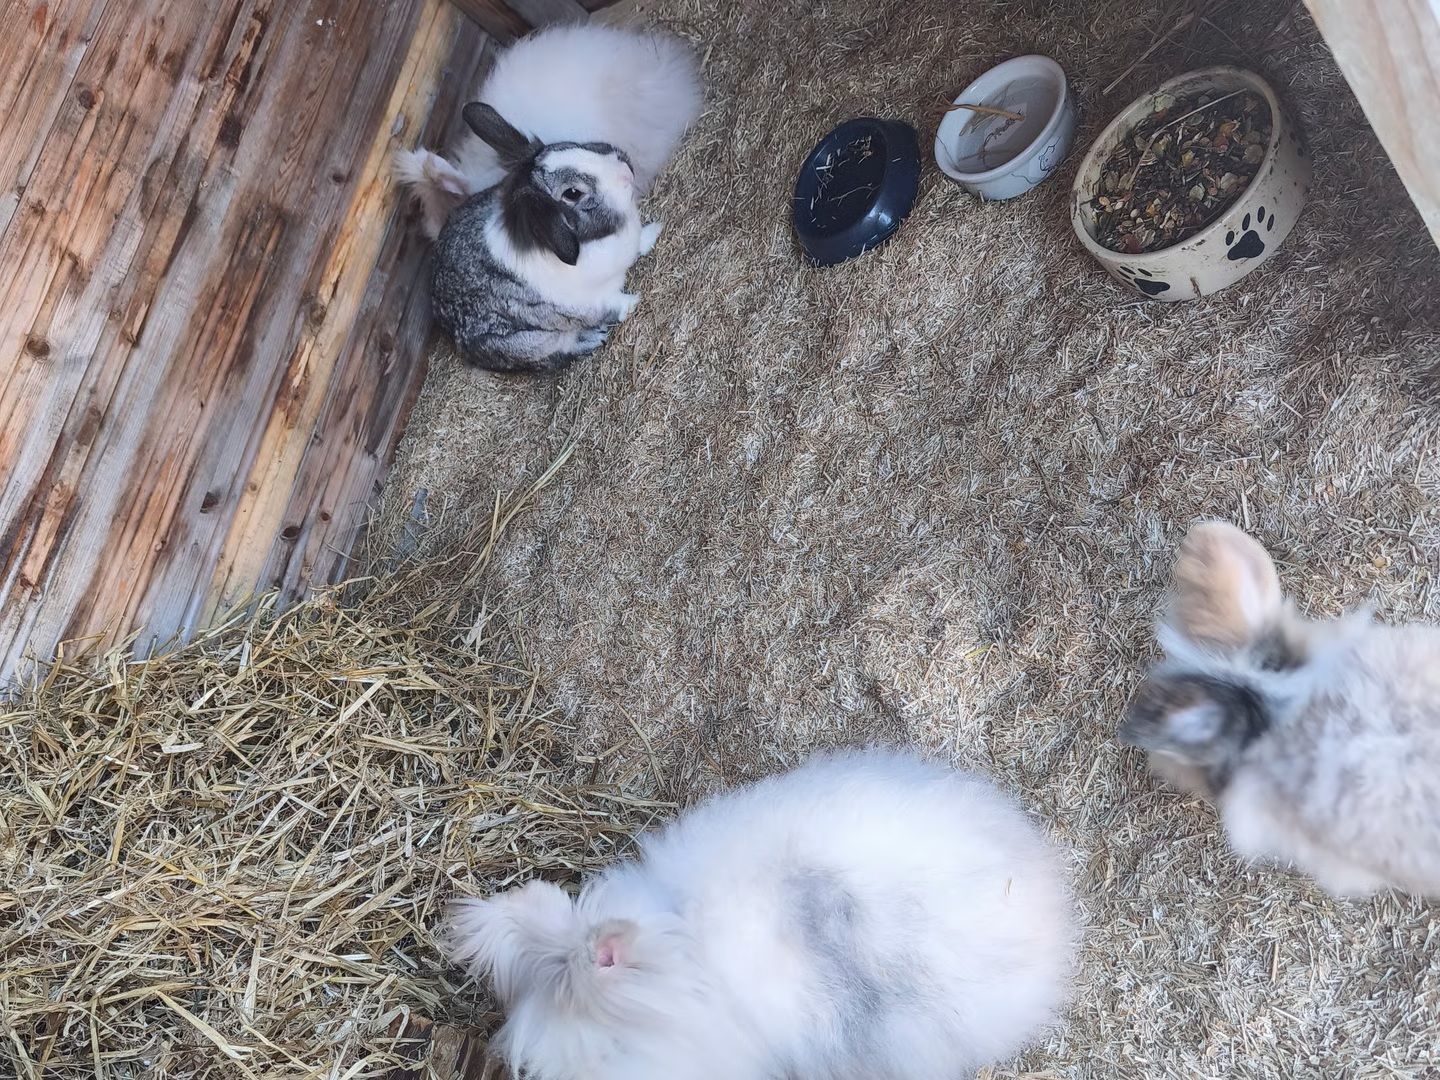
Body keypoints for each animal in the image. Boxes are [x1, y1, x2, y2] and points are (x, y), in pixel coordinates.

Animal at [419, 102, 665, 374]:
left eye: (569, 145)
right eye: (572, 193)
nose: (626, 171)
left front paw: (655, 231)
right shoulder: (598, 301)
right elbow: (619, 305)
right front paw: (635, 301)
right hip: (529, 343)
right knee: (557, 352)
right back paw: (591, 338)